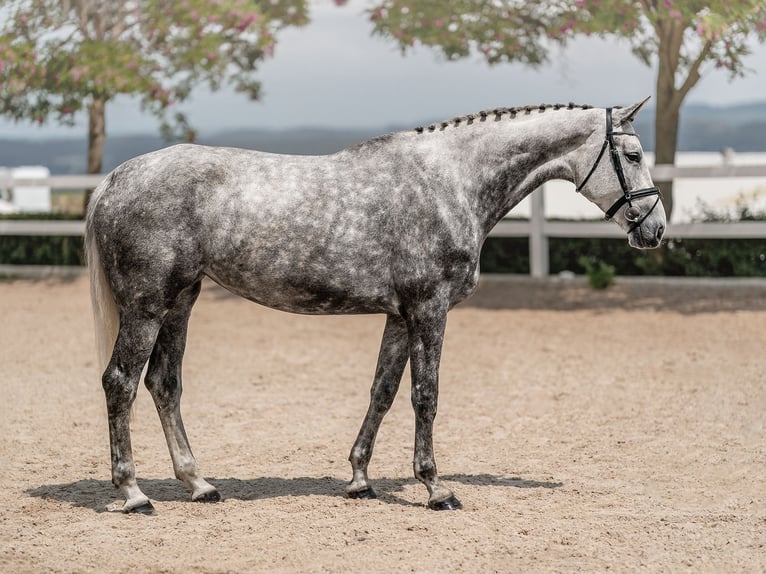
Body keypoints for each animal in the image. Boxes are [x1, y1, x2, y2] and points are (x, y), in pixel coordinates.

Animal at [85, 99, 665, 514]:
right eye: (634, 156)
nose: (655, 230)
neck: (451, 182)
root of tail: (114, 179)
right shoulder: (430, 309)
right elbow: (426, 395)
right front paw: (436, 488)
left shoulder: (398, 316)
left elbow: (382, 392)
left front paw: (360, 480)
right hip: (147, 305)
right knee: (121, 381)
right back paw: (133, 493)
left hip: (181, 300)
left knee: (164, 384)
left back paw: (199, 484)